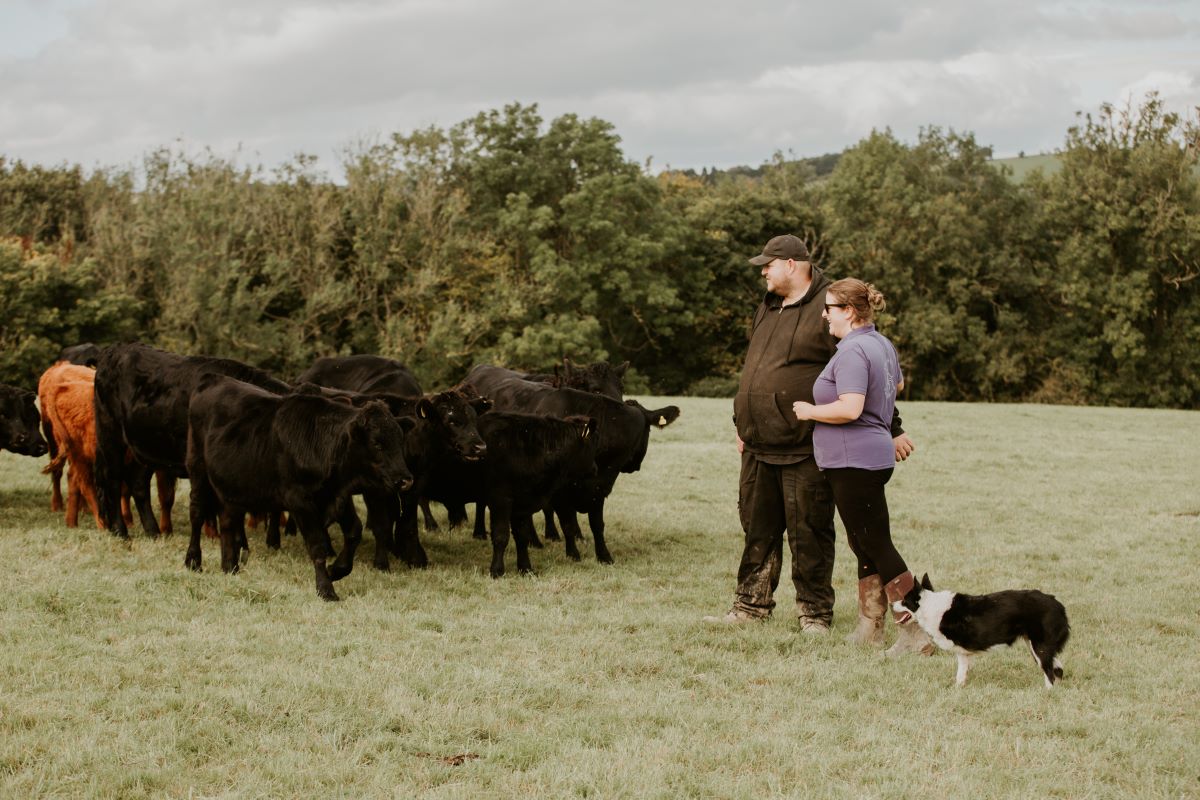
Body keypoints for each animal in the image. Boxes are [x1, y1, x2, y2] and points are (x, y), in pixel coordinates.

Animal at [92, 345, 291, 537]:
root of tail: (113, 351)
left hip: (144, 446)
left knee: (138, 484)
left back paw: (153, 531)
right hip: (110, 436)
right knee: (113, 480)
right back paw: (121, 530)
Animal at [184, 381, 415, 599]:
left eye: (400, 439)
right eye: (377, 443)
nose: (405, 480)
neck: (321, 444)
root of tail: (213, 381)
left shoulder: (338, 496)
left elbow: (354, 532)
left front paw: (336, 570)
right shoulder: (300, 501)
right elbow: (318, 544)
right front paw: (326, 589)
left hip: (232, 488)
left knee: (227, 522)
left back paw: (229, 566)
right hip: (197, 469)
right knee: (197, 513)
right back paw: (193, 561)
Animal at [463, 367, 681, 566]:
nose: (635, 465)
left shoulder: (598, 490)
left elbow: (597, 525)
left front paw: (604, 556)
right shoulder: (560, 492)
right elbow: (567, 523)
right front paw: (573, 555)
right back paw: (483, 532)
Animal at [892, 575, 1070, 690]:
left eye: (904, 601)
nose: (892, 604)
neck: (930, 607)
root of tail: (1057, 604)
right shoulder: (963, 653)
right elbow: (961, 674)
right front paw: (958, 689)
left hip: (1040, 647)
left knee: (1050, 673)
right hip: (1037, 647)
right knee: (1058, 669)